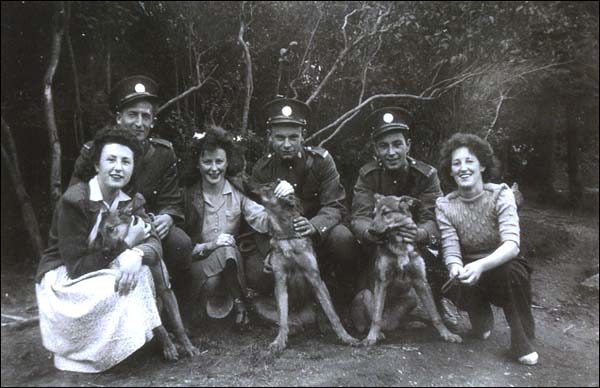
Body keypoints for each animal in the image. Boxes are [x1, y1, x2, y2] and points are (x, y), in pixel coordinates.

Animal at [91, 200, 198, 360]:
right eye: (99, 233)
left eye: (110, 229)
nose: (104, 252)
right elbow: (158, 327)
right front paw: (169, 348)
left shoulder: (165, 289)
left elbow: (178, 324)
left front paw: (188, 346)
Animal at [255, 183, 358, 354]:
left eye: (268, 186)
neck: (287, 237)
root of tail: (302, 319)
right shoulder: (280, 282)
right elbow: (282, 318)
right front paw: (279, 342)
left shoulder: (315, 279)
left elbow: (333, 315)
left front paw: (347, 337)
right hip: (259, 305)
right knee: (284, 321)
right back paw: (291, 329)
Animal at [358, 194, 462, 346]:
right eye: (373, 214)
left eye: (385, 213)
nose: (370, 231)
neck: (399, 243)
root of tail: (389, 324)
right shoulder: (382, 281)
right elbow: (376, 317)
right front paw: (371, 337)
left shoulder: (421, 281)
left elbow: (435, 314)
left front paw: (447, 334)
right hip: (365, 294)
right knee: (369, 323)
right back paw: (379, 333)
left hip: (412, 298)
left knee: (398, 322)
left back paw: (411, 324)